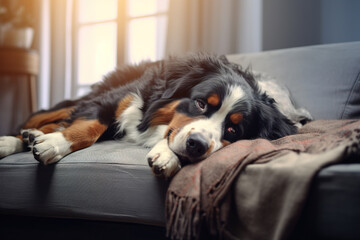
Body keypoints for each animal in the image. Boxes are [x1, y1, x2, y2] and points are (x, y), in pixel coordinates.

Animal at [0, 53, 310, 176]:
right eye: (200, 104)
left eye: (234, 130)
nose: (196, 145)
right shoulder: (114, 100)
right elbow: (90, 126)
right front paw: (55, 144)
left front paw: (167, 156)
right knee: (43, 116)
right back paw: (15, 139)